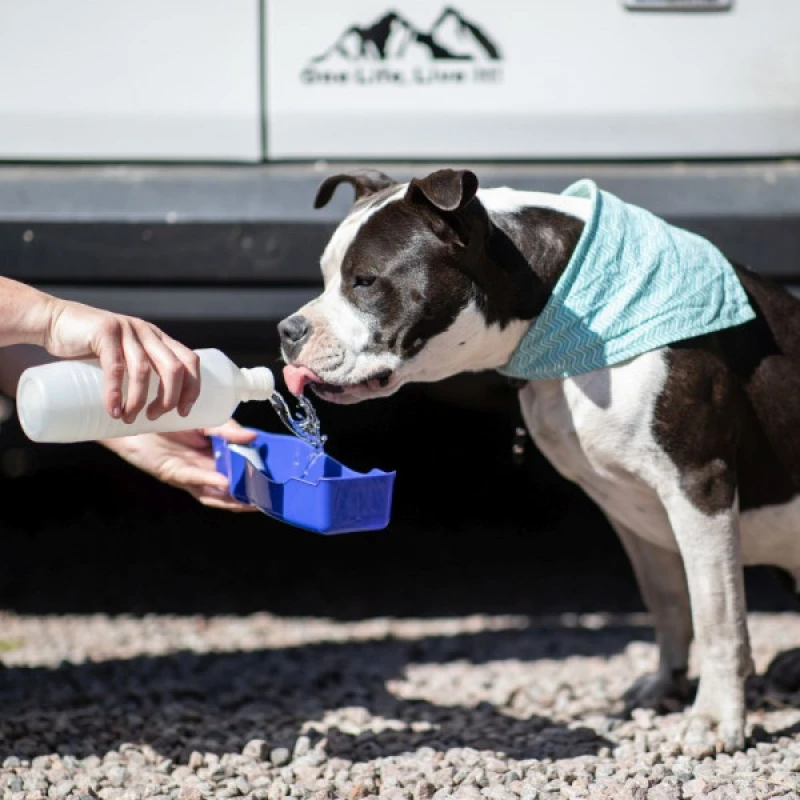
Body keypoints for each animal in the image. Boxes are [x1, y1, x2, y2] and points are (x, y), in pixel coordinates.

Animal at [280, 167, 800, 752]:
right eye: (326, 278)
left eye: (365, 281)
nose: (287, 331)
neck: (561, 312)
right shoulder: (633, 509)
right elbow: (668, 600)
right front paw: (665, 686)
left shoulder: (698, 485)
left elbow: (717, 613)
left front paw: (715, 718)